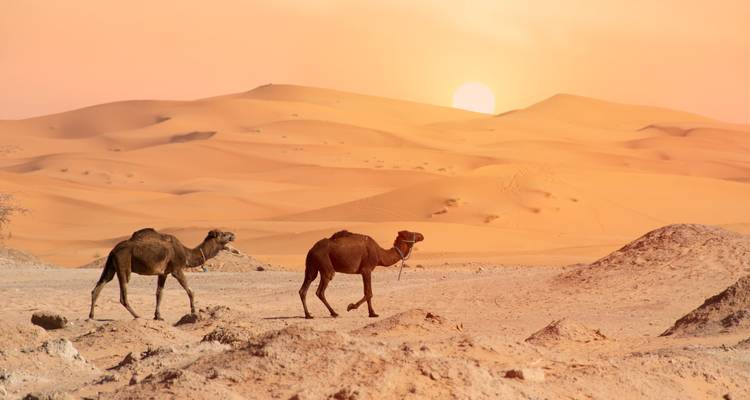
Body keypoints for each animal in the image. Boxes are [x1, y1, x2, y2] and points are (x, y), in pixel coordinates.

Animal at [88, 228, 235, 320]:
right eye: (223, 234)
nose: (233, 235)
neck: (187, 253)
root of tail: (113, 250)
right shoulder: (176, 269)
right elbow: (190, 291)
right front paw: (193, 311)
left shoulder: (163, 273)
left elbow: (159, 294)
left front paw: (158, 316)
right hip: (124, 265)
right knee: (122, 295)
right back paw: (137, 315)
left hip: (110, 266)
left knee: (98, 287)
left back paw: (91, 316)